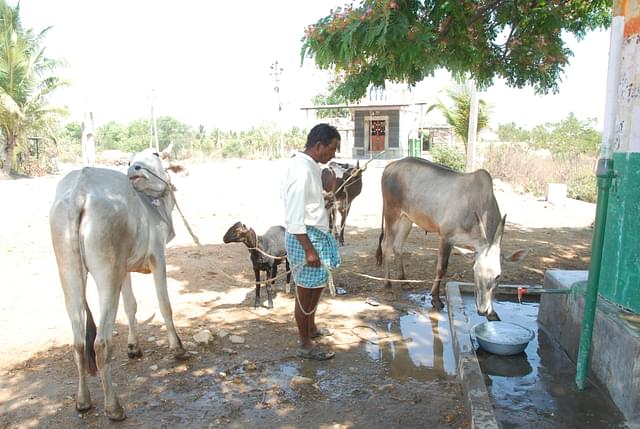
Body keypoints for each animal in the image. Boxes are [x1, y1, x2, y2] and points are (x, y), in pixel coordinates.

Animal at [50, 146, 186, 418]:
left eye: (154, 153)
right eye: (131, 159)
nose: (134, 168)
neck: (152, 207)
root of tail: (80, 189)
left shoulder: (125, 268)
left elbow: (131, 305)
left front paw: (134, 347)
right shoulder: (157, 257)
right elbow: (164, 304)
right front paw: (177, 347)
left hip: (69, 271)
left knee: (79, 342)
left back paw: (83, 400)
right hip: (107, 272)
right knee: (101, 343)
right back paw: (113, 406)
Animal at [376, 156, 524, 318]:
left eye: (498, 276)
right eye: (474, 271)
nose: (482, 310)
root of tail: (390, 166)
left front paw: (492, 312)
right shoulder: (446, 237)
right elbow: (442, 268)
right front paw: (436, 299)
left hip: (407, 218)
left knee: (398, 246)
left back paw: (404, 281)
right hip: (392, 213)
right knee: (386, 246)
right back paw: (388, 286)